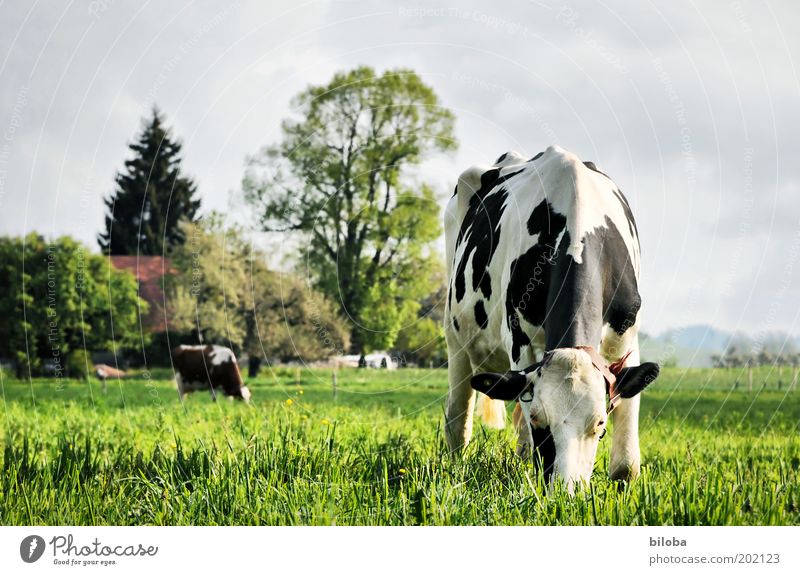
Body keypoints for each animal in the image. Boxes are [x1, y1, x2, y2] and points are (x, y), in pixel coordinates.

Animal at [440, 145, 660, 490]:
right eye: (539, 421)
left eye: (600, 425)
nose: (566, 492)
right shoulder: (520, 342)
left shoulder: (626, 337)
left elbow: (626, 465)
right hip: (456, 334)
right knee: (458, 417)